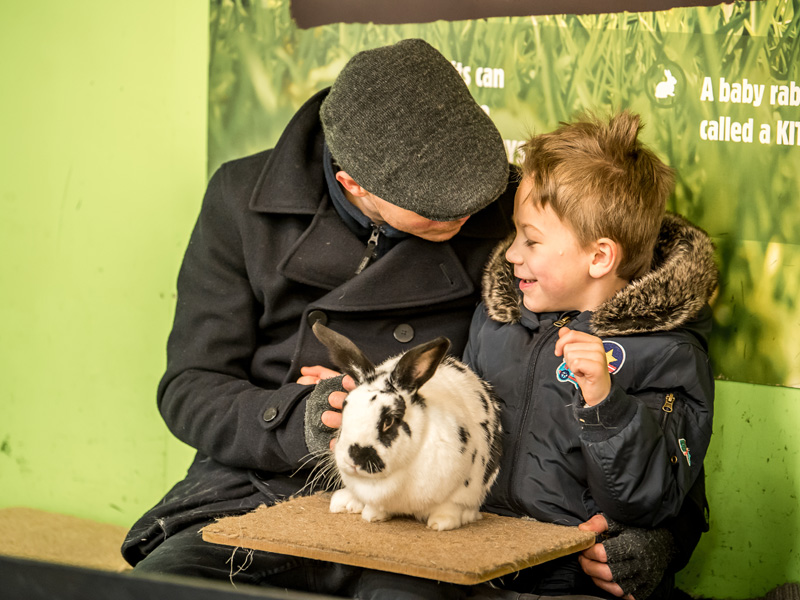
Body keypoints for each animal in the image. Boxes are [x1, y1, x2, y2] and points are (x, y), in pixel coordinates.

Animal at [310, 324, 504, 528]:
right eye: (344, 407)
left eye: (388, 420)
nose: (353, 459)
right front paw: (372, 515)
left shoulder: (461, 491)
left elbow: (450, 508)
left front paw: (441, 523)